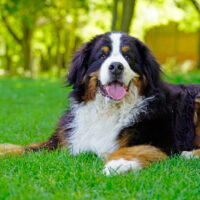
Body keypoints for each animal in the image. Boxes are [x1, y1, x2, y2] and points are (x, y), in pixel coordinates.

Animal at [0, 31, 200, 175]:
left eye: (128, 57)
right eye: (102, 56)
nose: (116, 66)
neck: (108, 109)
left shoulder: (161, 141)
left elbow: (137, 148)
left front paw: (119, 163)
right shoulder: (65, 139)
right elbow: (28, 147)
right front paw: (5, 150)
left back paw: (190, 154)